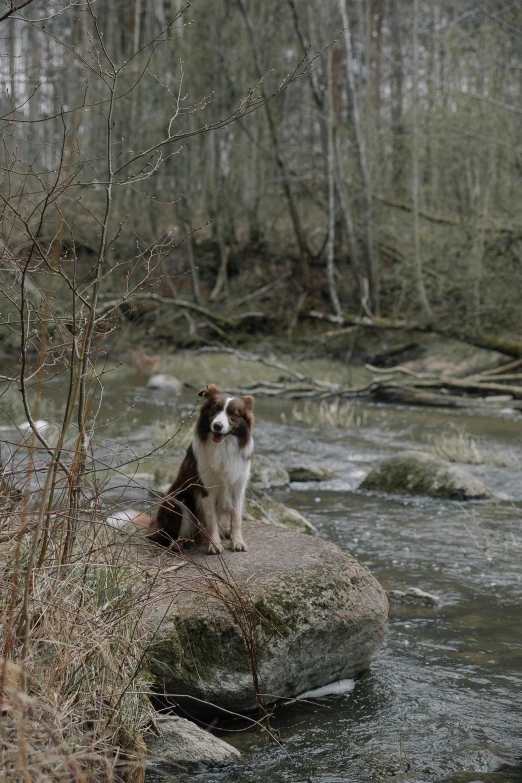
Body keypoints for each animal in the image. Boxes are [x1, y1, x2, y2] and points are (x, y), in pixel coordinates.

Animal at [148, 384, 254, 556]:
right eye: (215, 408)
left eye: (233, 414)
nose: (217, 426)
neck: (223, 447)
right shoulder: (206, 488)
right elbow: (211, 520)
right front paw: (215, 545)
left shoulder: (238, 485)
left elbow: (236, 516)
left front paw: (238, 541)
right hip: (178, 503)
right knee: (168, 535)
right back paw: (178, 543)